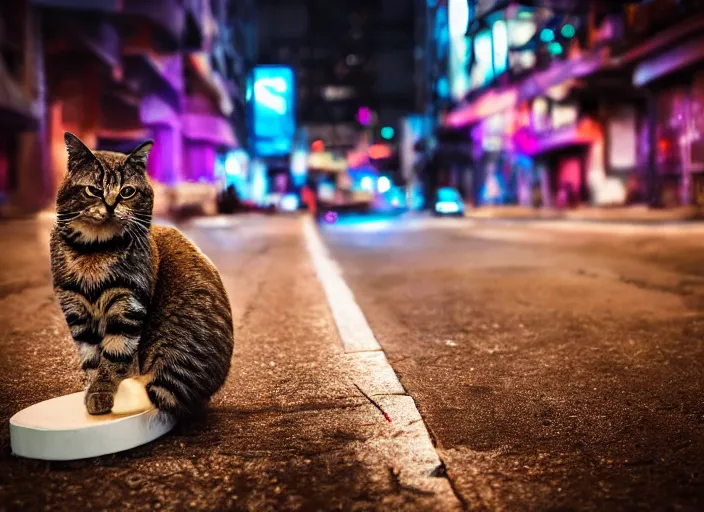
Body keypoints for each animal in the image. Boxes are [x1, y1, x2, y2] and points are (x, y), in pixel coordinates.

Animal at [51, 133, 236, 420]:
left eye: (127, 191)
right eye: (94, 190)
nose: (111, 205)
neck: (94, 250)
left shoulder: (127, 305)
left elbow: (114, 356)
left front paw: (101, 391)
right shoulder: (75, 309)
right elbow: (91, 358)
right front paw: (92, 389)